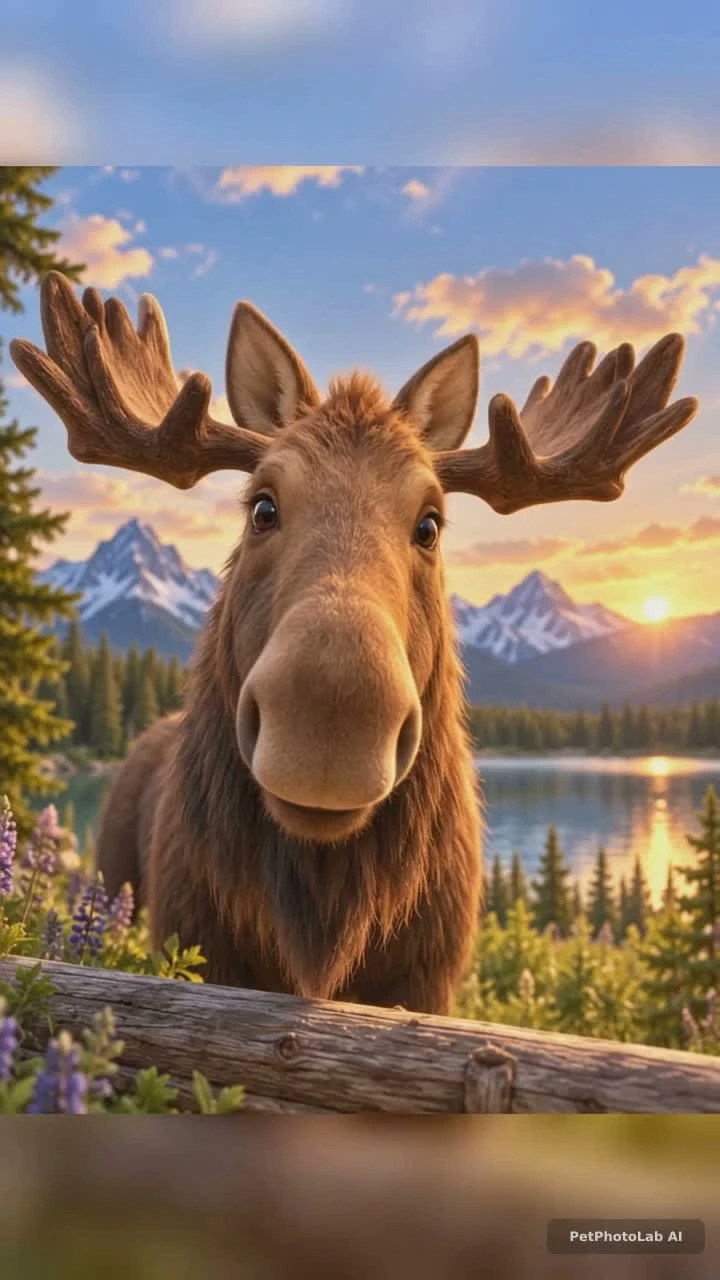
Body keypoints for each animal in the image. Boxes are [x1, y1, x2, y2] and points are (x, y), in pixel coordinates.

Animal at [11, 272, 698, 1014]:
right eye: (262, 506)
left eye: (430, 523)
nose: (331, 717)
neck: (325, 919)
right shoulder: (198, 945)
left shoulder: (427, 981)